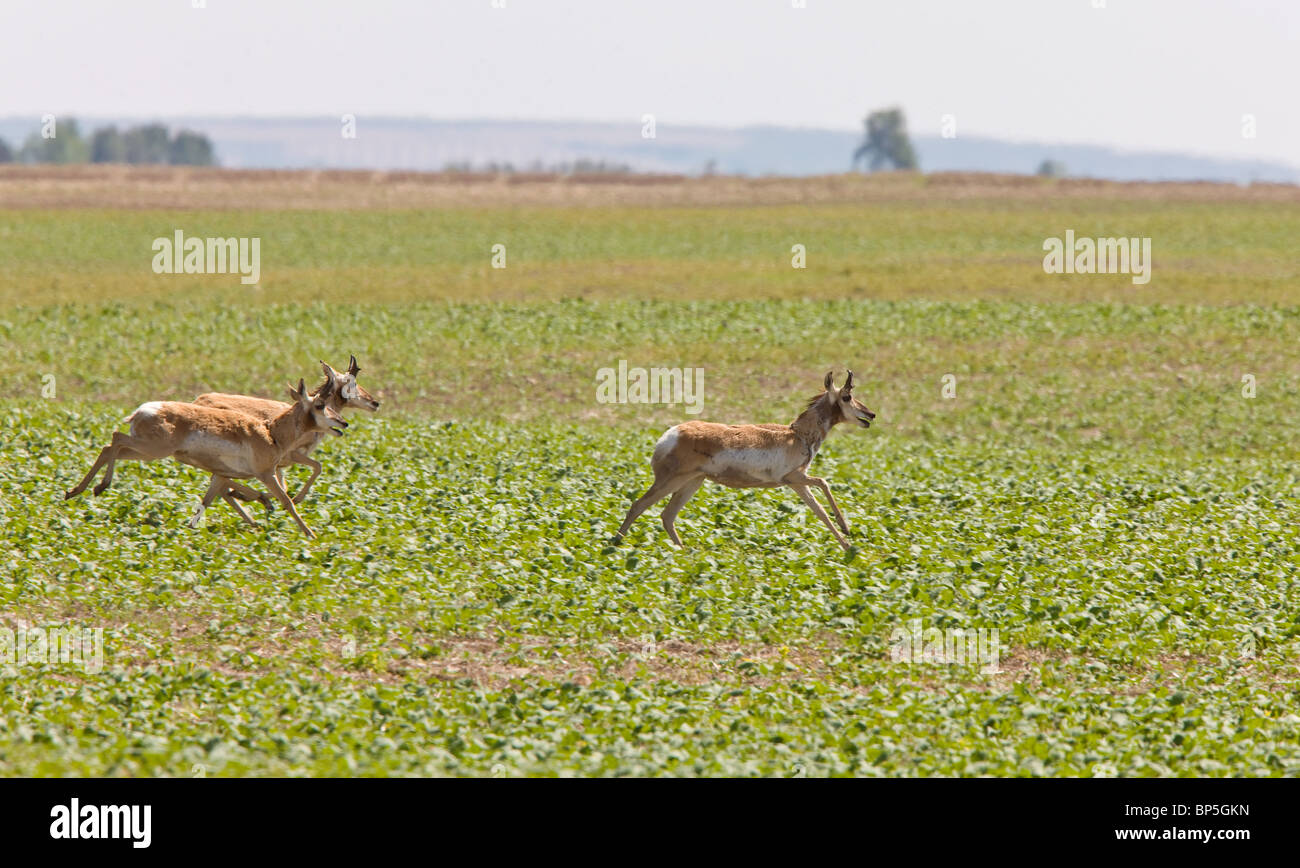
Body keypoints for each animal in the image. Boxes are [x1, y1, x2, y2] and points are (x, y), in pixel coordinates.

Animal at [64, 380, 347, 538]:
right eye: (320, 405)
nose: (343, 423)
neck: (270, 431)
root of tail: (143, 410)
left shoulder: (221, 475)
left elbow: (208, 499)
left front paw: (191, 529)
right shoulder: (266, 474)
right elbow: (287, 501)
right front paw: (310, 534)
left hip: (146, 452)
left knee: (111, 446)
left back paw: (80, 490)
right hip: (152, 449)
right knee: (113, 440)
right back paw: (96, 487)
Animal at [193, 355, 380, 508]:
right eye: (352, 383)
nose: (375, 403)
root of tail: (198, 400)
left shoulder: (278, 466)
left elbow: (284, 487)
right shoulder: (291, 456)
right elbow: (317, 467)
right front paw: (295, 499)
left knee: (219, 485)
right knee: (220, 483)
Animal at [615, 371, 875, 551]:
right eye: (847, 396)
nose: (871, 415)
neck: (797, 434)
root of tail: (671, 434)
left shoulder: (797, 484)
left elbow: (819, 511)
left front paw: (848, 546)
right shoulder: (794, 477)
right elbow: (824, 482)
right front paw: (847, 531)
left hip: (693, 482)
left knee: (667, 516)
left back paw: (684, 552)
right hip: (672, 481)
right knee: (638, 505)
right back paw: (614, 546)